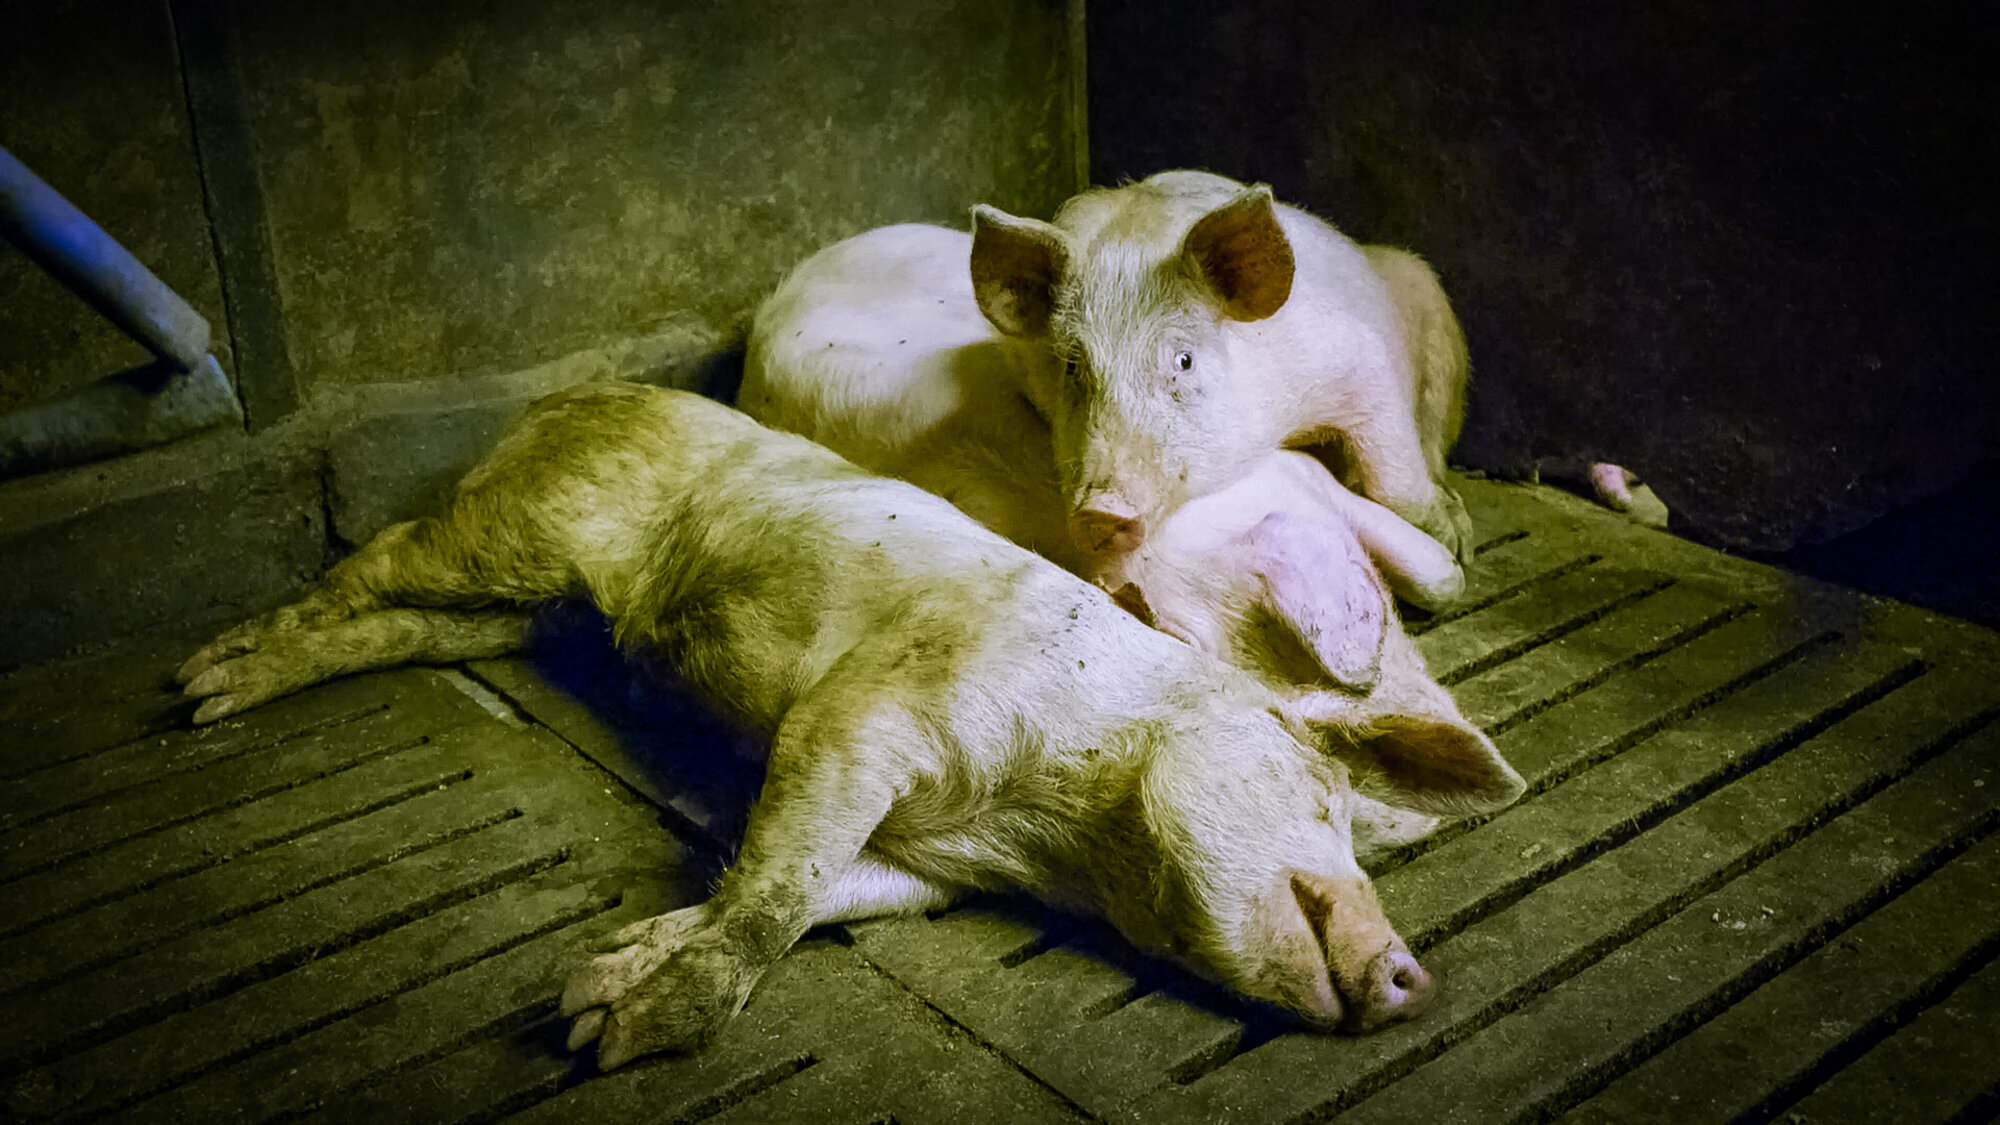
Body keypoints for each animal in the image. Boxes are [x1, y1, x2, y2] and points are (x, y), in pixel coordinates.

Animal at [177, 383, 1524, 1071]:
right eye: (1316, 794)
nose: (1415, 974)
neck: (1043, 835)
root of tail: (578, 392)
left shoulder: (924, 873)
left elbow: (800, 887)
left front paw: (596, 986)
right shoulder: (861, 712)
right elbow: (776, 886)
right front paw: (613, 1036)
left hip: (522, 613)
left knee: (403, 625)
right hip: (521, 524)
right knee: (379, 562)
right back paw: (204, 686)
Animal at [739, 169, 1473, 579]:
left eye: (1182, 359)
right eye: (1074, 367)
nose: (1102, 510)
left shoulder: (1356, 359)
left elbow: (1395, 475)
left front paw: (1455, 535)